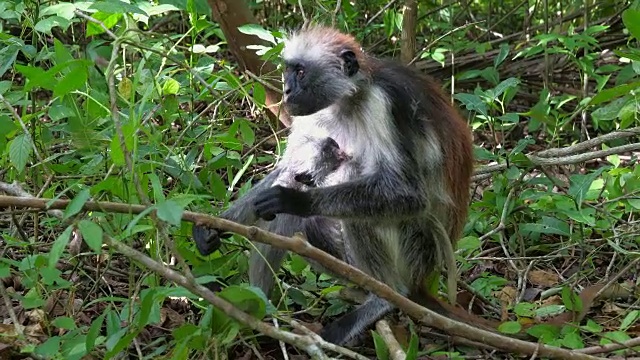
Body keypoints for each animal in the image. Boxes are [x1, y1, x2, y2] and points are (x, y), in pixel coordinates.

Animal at [194, 25, 476, 346]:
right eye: (288, 71)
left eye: (301, 72)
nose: (287, 90)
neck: (350, 97)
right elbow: (286, 170)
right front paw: (214, 226)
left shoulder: (382, 103)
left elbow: (411, 196)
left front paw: (295, 200)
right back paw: (258, 311)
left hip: (416, 248)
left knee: (357, 196)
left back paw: (386, 297)